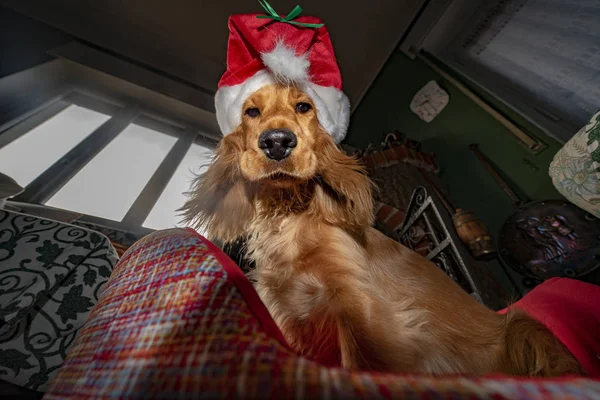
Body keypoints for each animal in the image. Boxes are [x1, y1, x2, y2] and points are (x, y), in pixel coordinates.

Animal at [180, 83, 584, 376]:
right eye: (251, 111)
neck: (289, 215)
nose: (277, 142)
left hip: (525, 329)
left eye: (304, 107)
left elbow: (366, 360)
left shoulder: (358, 304)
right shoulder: (290, 314)